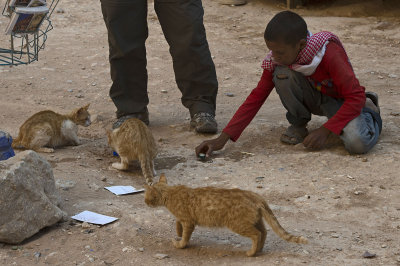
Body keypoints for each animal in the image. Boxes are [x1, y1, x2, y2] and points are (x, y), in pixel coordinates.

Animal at [145, 174, 308, 256]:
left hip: (238, 224)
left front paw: (180, 243)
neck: (170, 193)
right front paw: (178, 232)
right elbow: (177, 224)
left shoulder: (189, 221)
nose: (144, 201)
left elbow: (185, 237)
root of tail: (255, 196)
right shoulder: (185, 220)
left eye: (146, 196)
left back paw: (251, 252)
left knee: (257, 234)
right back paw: (259, 250)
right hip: (256, 221)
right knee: (264, 232)